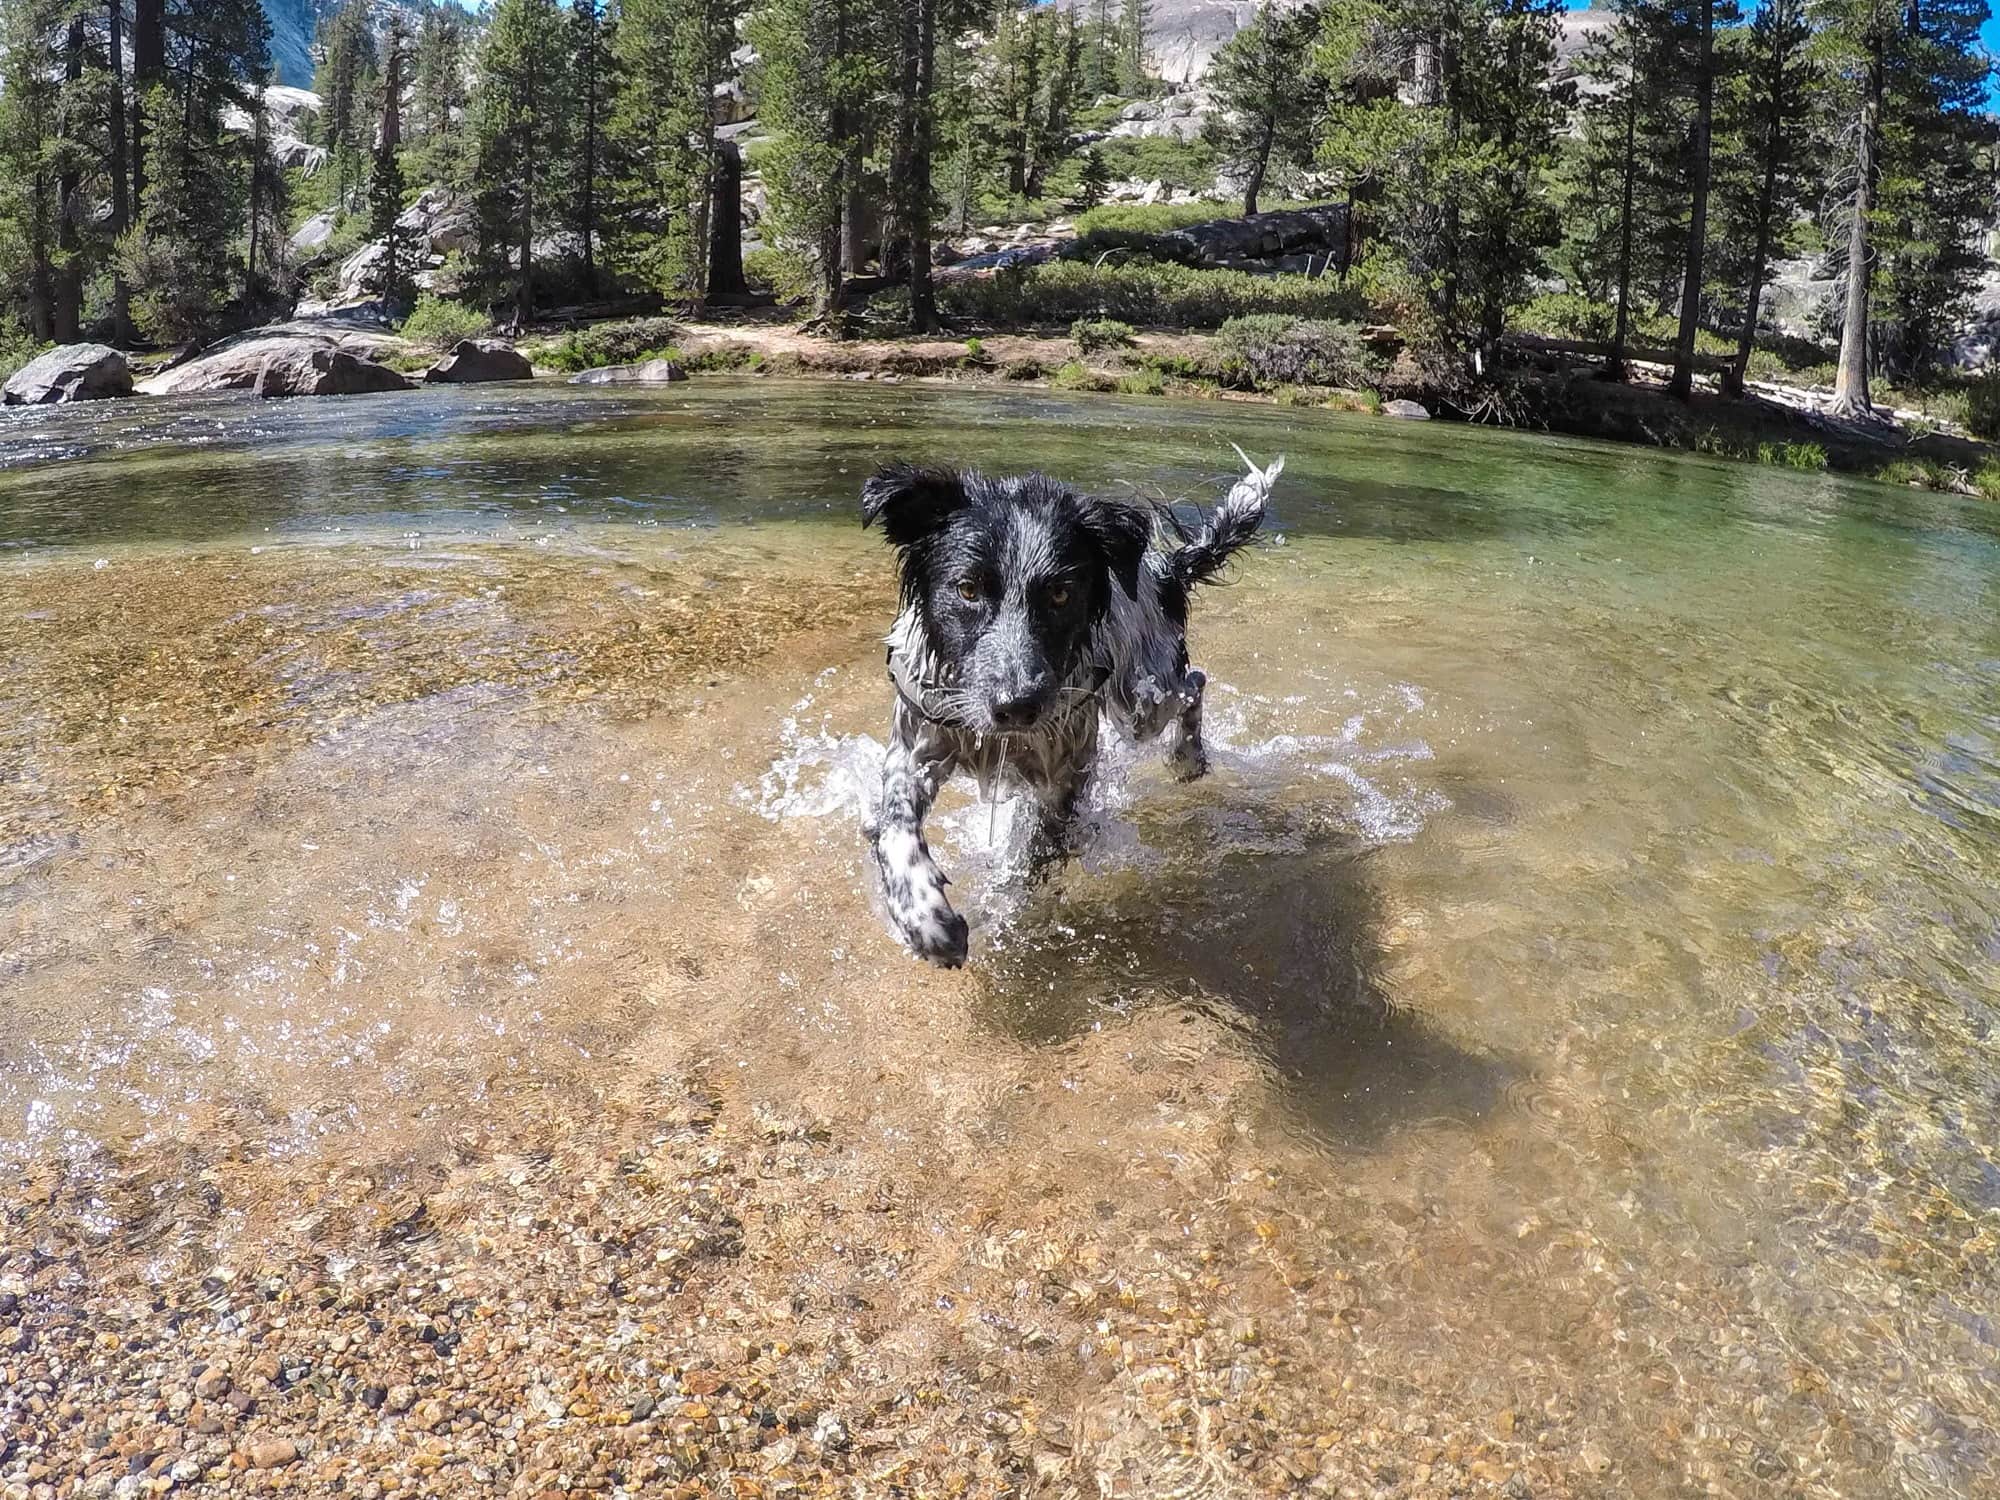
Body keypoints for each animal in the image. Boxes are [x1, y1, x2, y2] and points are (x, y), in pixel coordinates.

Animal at [860, 446, 1280, 968]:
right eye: (968, 590)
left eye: (1060, 594)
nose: (1016, 707)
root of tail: (1163, 571)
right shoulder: (918, 744)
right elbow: (895, 828)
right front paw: (925, 918)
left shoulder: (1067, 770)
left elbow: (1031, 858)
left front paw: (1003, 908)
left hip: (1142, 699)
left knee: (1193, 685)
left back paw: (1188, 757)